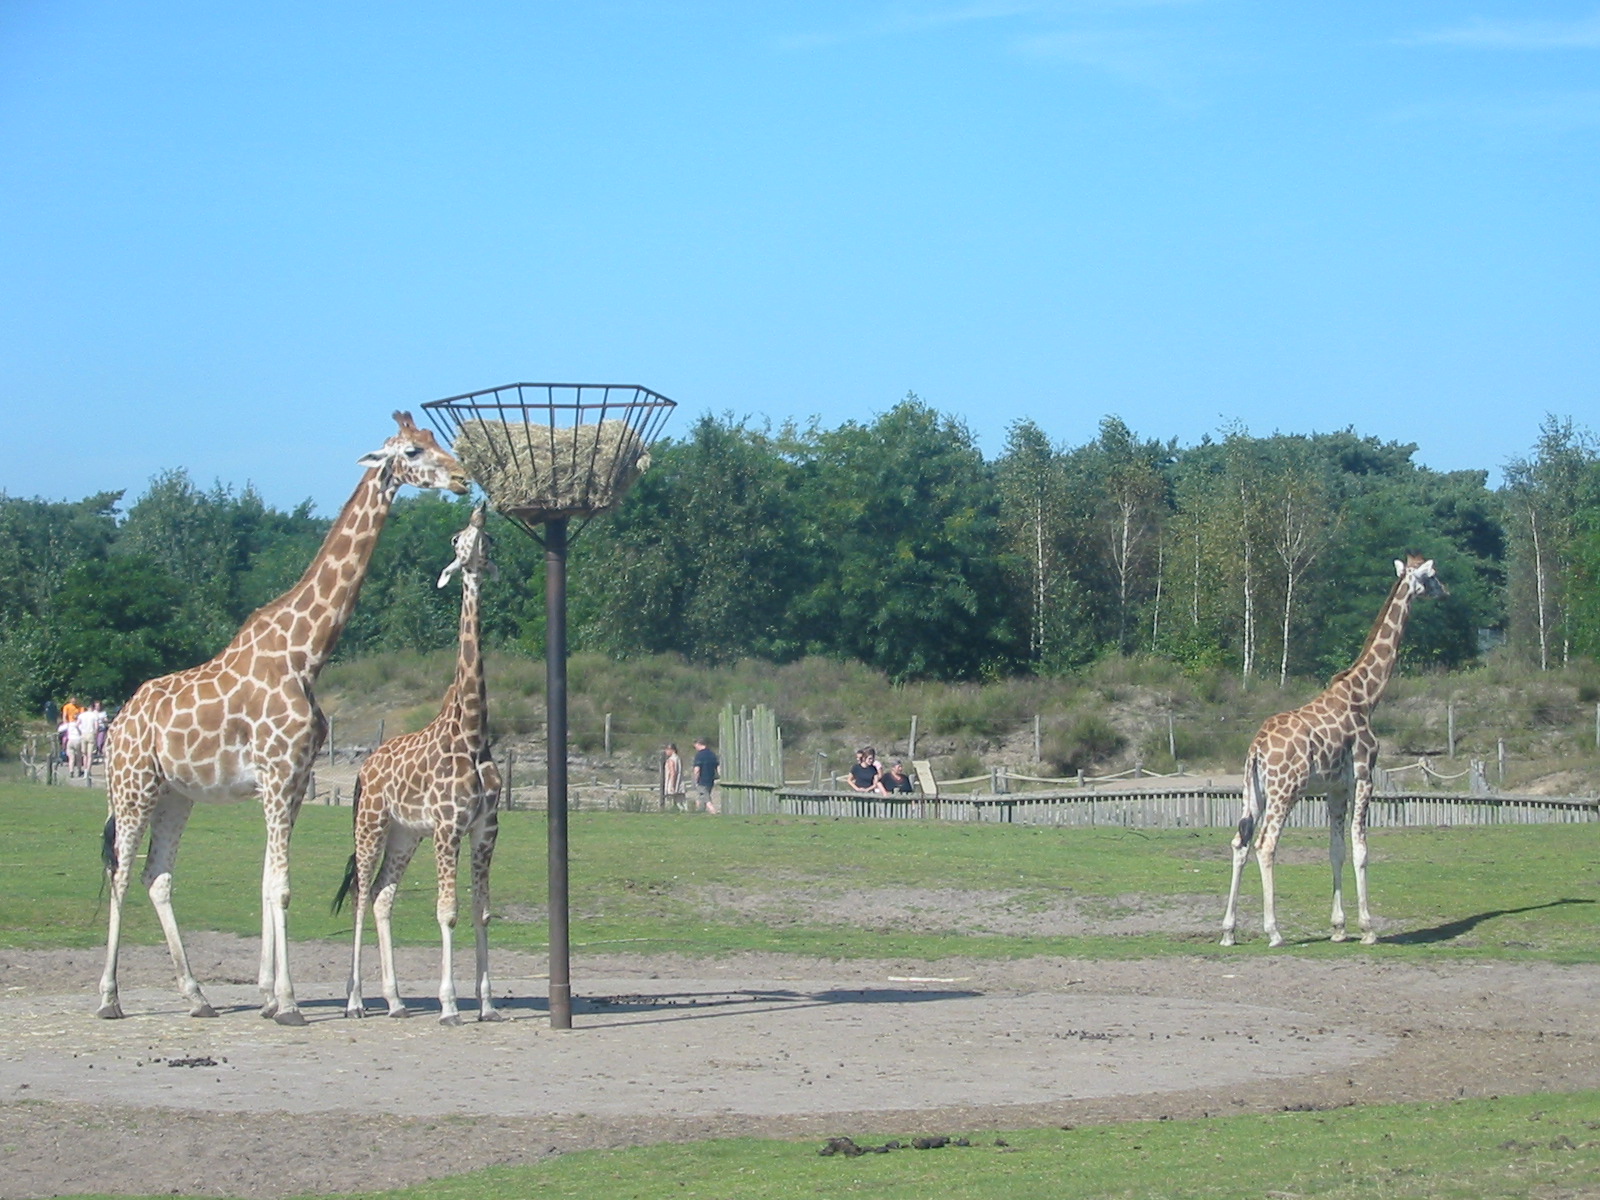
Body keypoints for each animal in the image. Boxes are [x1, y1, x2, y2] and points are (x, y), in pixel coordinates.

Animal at [97, 412, 469, 1024]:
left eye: (440, 442)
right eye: (414, 450)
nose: (463, 478)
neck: (306, 652)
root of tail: (119, 721)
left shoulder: (295, 781)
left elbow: (269, 881)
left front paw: (269, 996)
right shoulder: (275, 775)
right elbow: (282, 887)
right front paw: (289, 1002)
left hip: (176, 794)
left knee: (157, 876)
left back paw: (197, 996)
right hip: (132, 785)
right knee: (122, 870)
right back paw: (109, 997)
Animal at [333, 504, 502, 1024]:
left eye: (489, 541)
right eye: (455, 539)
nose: (479, 510)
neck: (473, 732)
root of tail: (362, 769)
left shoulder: (485, 829)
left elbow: (480, 911)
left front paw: (487, 1004)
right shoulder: (448, 827)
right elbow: (447, 911)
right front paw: (449, 1006)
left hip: (404, 834)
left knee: (382, 896)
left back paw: (395, 1001)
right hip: (370, 825)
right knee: (361, 896)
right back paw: (355, 1001)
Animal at [1220, 553, 1448, 948]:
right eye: (1432, 575)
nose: (1446, 591)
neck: (1367, 696)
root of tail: (1256, 749)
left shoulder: (1335, 787)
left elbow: (1336, 850)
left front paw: (1339, 928)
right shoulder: (1363, 775)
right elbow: (1361, 849)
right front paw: (1369, 928)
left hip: (1254, 792)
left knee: (1240, 842)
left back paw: (1229, 931)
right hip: (1285, 790)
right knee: (1265, 844)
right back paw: (1274, 931)